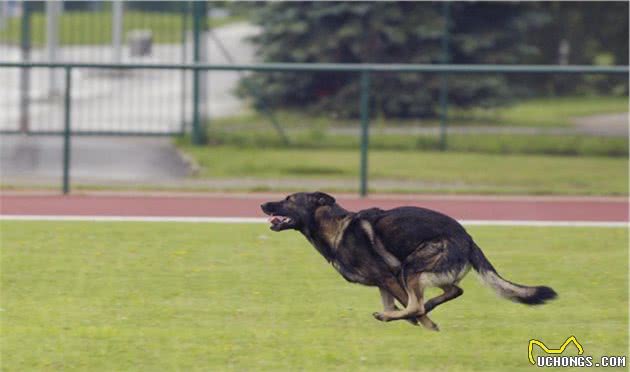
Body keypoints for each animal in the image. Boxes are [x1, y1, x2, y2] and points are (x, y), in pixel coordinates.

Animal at [262, 192, 556, 332]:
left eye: (289, 199)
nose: (263, 205)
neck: (335, 228)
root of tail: (468, 239)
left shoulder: (389, 277)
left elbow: (411, 309)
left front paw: (429, 328)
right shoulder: (383, 283)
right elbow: (396, 303)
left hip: (412, 267)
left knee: (417, 304)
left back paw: (396, 316)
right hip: (424, 272)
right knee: (453, 290)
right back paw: (423, 307)